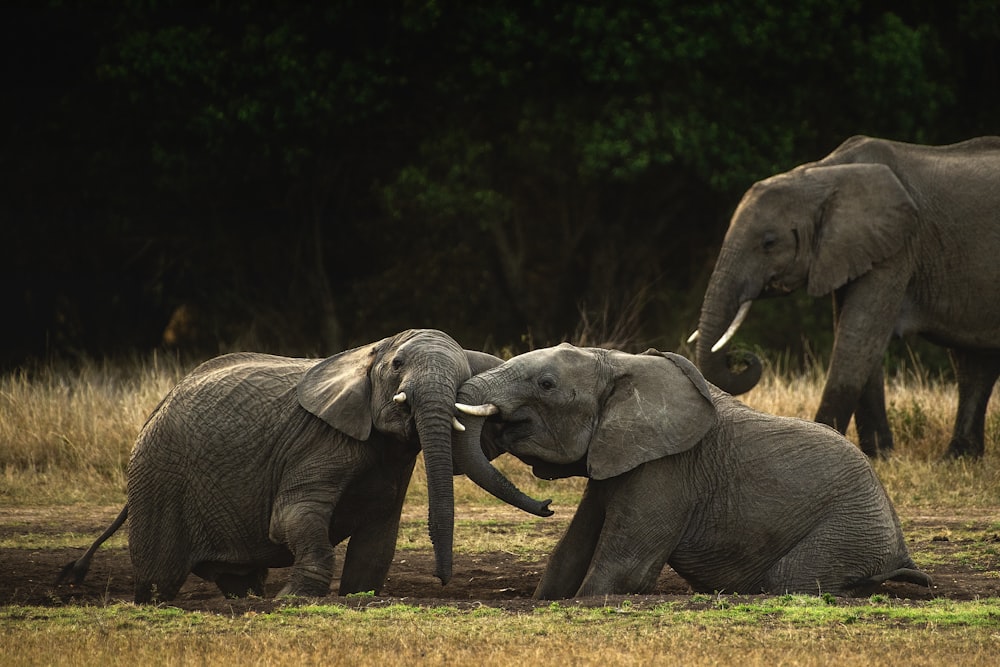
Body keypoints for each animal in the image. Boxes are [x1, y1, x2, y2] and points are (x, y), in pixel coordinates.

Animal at [58, 330, 552, 604]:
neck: (369, 352)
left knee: (236, 578)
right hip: (158, 479)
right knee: (159, 580)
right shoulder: (318, 441)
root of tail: (155, 411)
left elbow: (378, 537)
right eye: (397, 365)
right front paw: (293, 599)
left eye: (465, 370)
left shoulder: (390, 461)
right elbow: (292, 517)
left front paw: (356, 597)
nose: (443, 580)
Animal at [454, 344, 928, 600]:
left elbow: (624, 570)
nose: (548, 505)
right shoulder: (619, 453)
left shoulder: (670, 469)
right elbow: (568, 554)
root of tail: (901, 550)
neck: (620, 362)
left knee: (790, 579)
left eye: (547, 384)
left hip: (848, 532)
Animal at [692, 136, 1000, 460]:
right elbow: (857, 336)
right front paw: (879, 454)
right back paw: (960, 456)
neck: (822, 174)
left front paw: (828, 440)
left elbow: (857, 336)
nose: (740, 357)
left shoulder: (898, 248)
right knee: (975, 363)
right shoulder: (850, 250)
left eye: (769, 243)